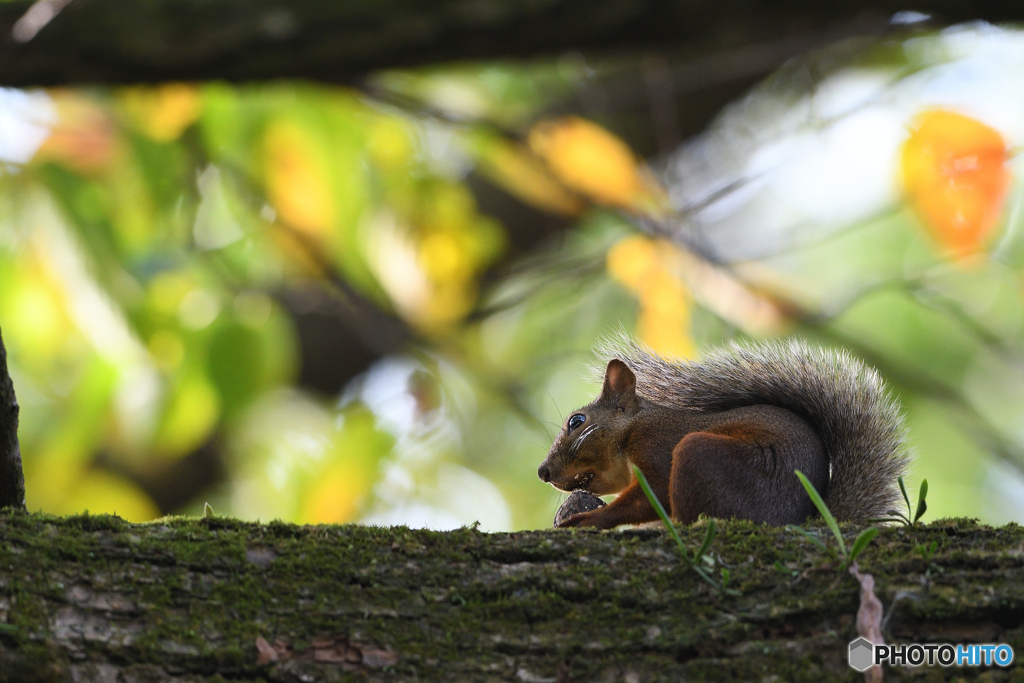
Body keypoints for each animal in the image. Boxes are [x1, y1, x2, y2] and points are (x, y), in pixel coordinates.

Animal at [540, 335, 909, 528]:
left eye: (577, 421)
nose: (543, 471)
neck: (632, 430)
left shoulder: (657, 448)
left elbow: (654, 495)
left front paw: (589, 518)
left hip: (699, 454)